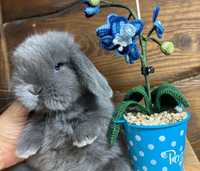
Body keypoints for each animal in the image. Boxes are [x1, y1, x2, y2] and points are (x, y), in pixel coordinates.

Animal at [9, 31, 131, 170]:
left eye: (58, 66)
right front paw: (24, 148)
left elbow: (94, 116)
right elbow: (33, 124)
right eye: (20, 70)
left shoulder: (104, 111)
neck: (60, 112)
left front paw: (83, 138)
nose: (33, 90)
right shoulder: (38, 116)